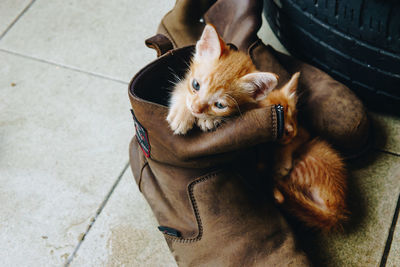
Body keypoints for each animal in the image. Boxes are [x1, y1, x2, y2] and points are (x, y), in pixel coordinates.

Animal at [167, 24, 348, 230]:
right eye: (195, 85)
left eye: (220, 105)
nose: (196, 110)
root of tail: (336, 211)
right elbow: (181, 88)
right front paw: (182, 113)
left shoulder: (303, 131)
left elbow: (290, 142)